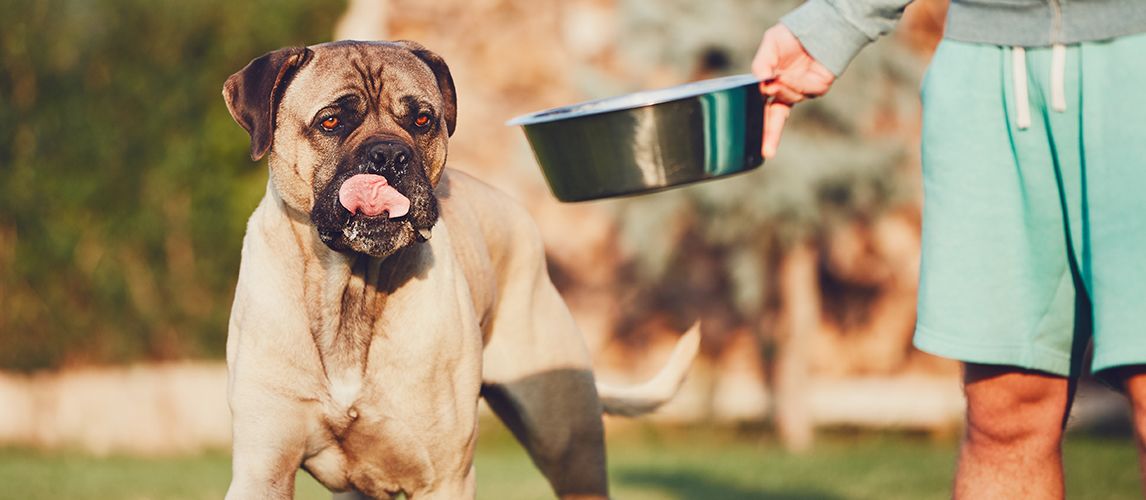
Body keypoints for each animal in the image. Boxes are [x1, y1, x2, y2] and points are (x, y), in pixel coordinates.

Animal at [217, 40, 692, 499]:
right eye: (331, 121)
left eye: (423, 119)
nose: (389, 154)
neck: (351, 288)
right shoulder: (263, 470)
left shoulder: (444, 475)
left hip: (569, 445)